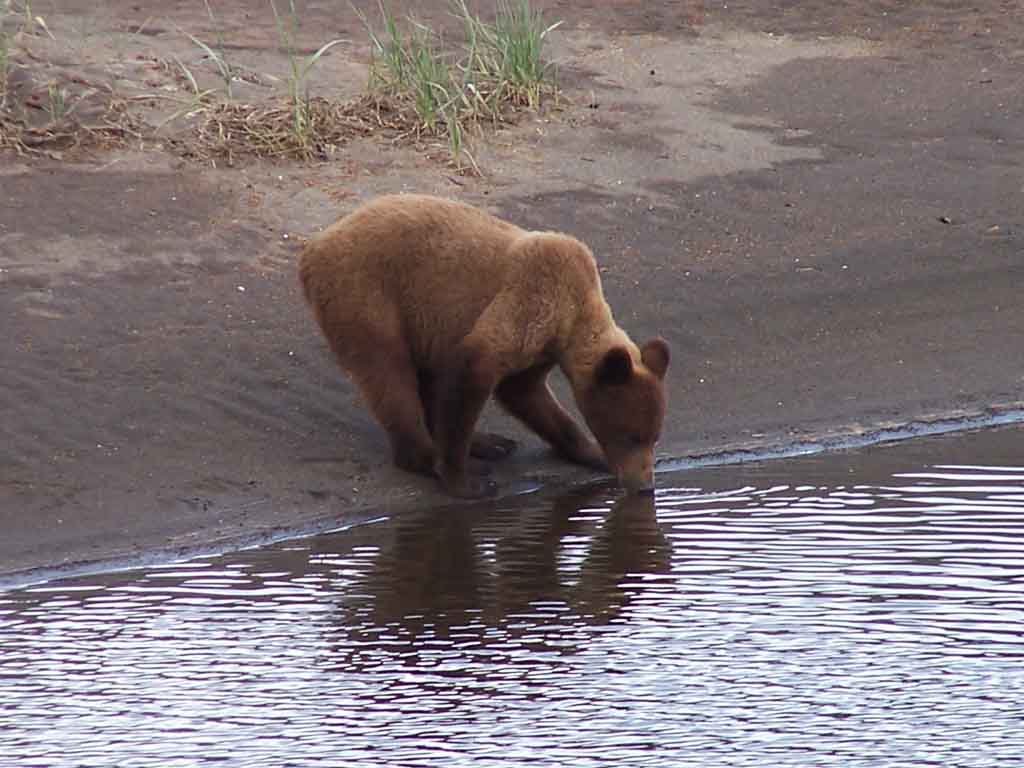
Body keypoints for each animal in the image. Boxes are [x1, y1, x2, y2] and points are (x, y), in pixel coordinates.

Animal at [296, 193, 667, 499]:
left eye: (654, 436)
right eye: (632, 436)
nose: (644, 486)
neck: (572, 317)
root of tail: (313, 248)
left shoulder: (541, 348)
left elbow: (528, 394)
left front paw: (590, 452)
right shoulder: (531, 300)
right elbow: (476, 368)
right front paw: (463, 480)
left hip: (421, 321)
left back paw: (490, 443)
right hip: (369, 297)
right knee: (390, 376)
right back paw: (430, 456)